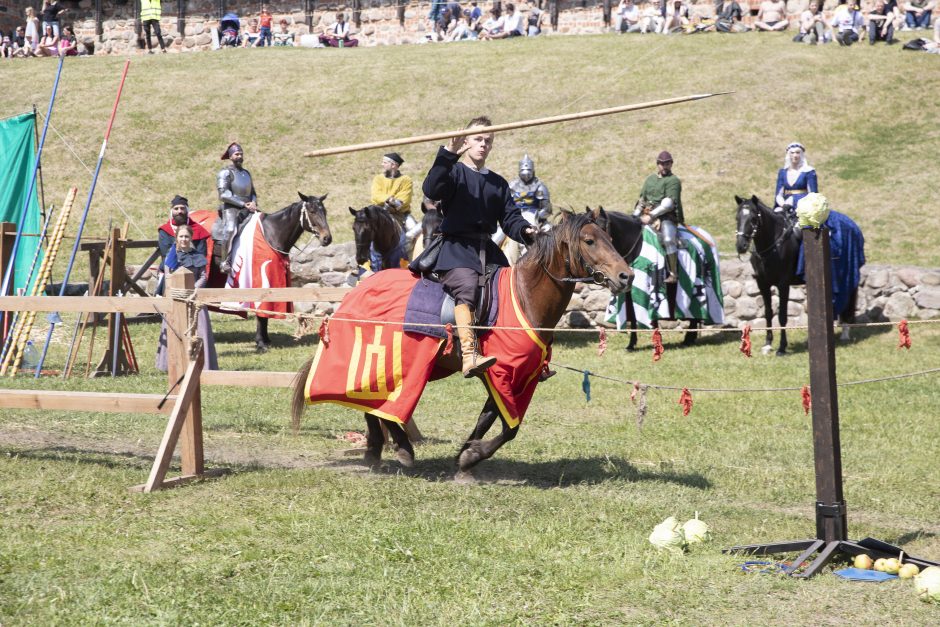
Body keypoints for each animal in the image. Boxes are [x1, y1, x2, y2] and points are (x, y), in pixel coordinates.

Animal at [193, 191, 332, 350]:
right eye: (312, 211)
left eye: (324, 211)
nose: (327, 238)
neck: (271, 233)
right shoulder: (261, 282)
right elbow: (262, 311)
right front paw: (260, 342)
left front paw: (265, 339)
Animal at [292, 210, 632, 476]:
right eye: (589, 241)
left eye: (609, 237)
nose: (625, 276)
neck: (525, 297)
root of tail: (357, 290)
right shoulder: (503, 373)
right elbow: (509, 426)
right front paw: (471, 457)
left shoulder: (518, 377)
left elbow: (492, 420)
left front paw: (465, 457)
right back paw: (399, 448)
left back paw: (378, 449)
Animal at [592, 209, 700, 350]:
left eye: (603, 231)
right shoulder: (629, 292)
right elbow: (633, 316)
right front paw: (631, 344)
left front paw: (657, 343)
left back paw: (689, 338)